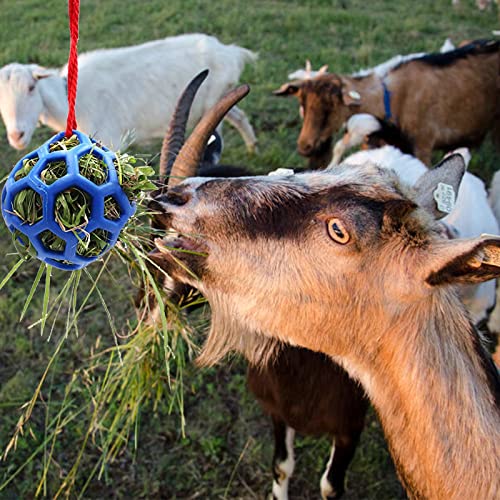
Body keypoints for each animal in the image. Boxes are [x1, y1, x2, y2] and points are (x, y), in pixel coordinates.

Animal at [0, 33, 258, 151]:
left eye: (31, 88)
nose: (16, 136)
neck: (70, 99)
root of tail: (231, 52)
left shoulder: (110, 140)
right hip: (221, 97)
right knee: (239, 116)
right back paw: (252, 147)